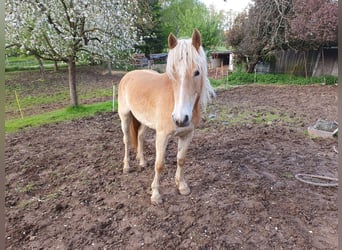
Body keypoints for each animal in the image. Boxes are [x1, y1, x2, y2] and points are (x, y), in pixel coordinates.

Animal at [117, 28, 214, 205]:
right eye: (173, 73)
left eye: (197, 72)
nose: (180, 119)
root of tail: (129, 74)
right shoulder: (162, 135)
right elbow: (159, 164)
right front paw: (156, 195)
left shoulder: (187, 134)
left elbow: (181, 159)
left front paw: (182, 186)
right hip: (125, 116)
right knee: (127, 140)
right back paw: (126, 167)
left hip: (144, 121)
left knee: (140, 137)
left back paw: (142, 162)